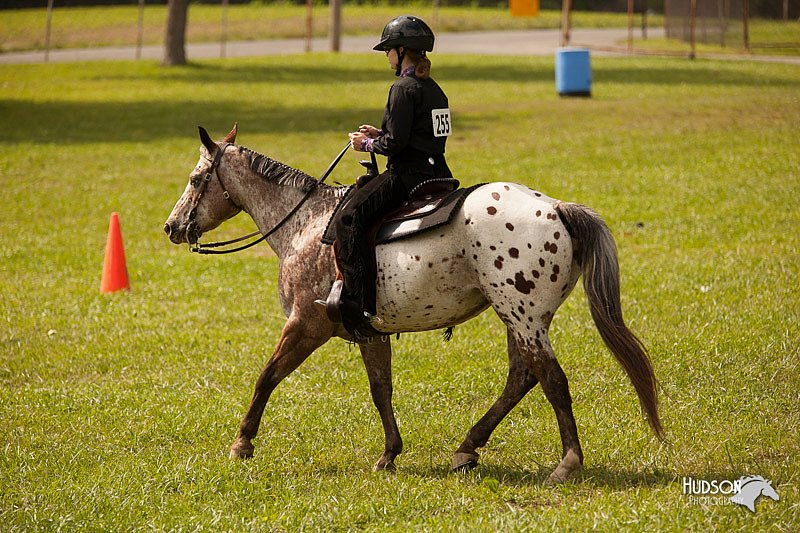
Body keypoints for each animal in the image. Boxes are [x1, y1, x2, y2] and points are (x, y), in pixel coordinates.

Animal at [162, 124, 664, 482]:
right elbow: (380, 388)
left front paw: (242, 443)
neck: (308, 224)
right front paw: (389, 453)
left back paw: (568, 462)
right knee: (523, 378)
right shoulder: (367, 331)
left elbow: (266, 377)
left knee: (552, 379)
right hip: (518, 317)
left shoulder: (306, 325)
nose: (171, 227)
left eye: (195, 178)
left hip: (522, 317)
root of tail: (557, 208)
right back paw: (467, 447)